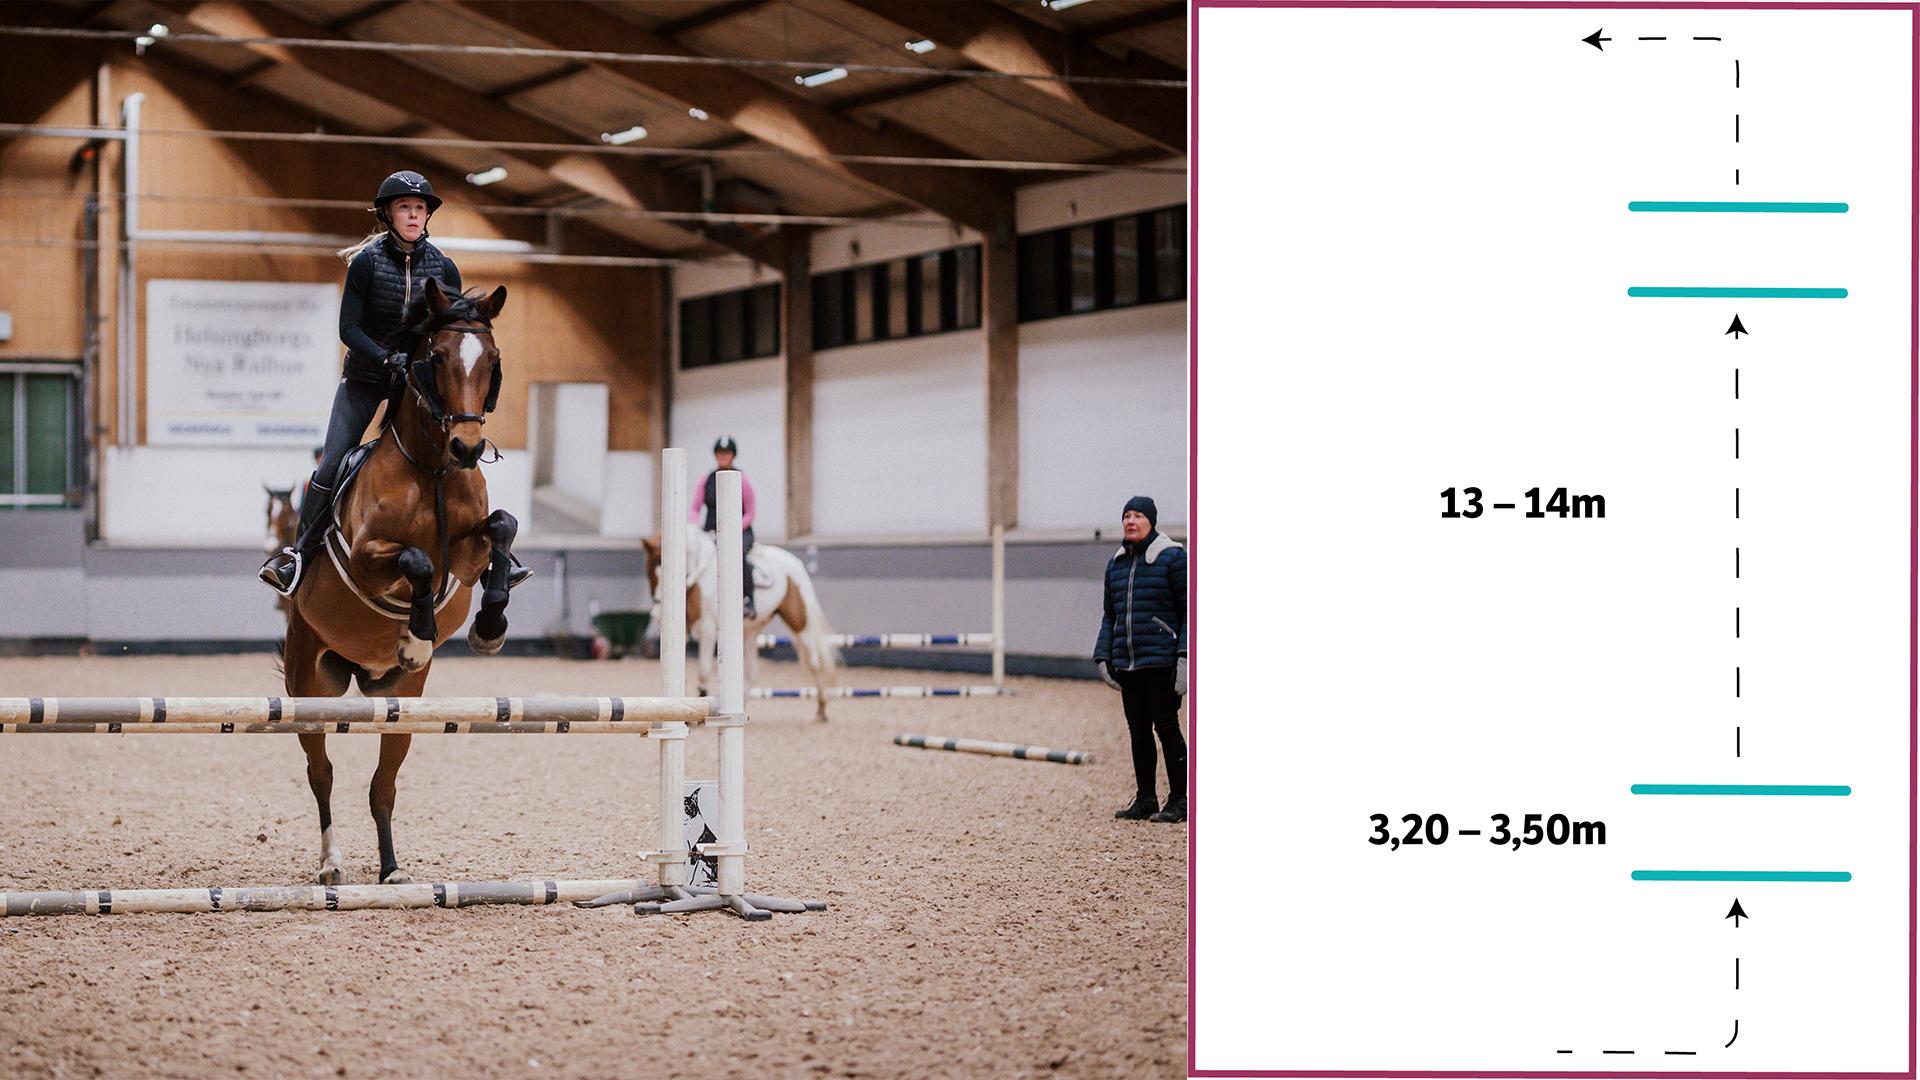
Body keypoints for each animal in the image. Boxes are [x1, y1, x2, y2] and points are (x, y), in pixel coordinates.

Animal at [283, 279, 521, 886]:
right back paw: (332, 863)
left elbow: (501, 528)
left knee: (382, 785)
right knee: (321, 772)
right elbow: (415, 561)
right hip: (307, 685)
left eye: (493, 361)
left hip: (403, 703)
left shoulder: (467, 555)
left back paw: (391, 869)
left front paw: (489, 626)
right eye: (436, 359)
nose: (468, 448)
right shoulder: (368, 558)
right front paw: (415, 635)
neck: (431, 468)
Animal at [643, 523, 838, 721]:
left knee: (814, 662)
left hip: (799, 621)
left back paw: (822, 708)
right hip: (751, 632)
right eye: (650, 572)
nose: (657, 610)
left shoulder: (708, 630)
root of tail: (795, 562)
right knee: (752, 674)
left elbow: (703, 670)